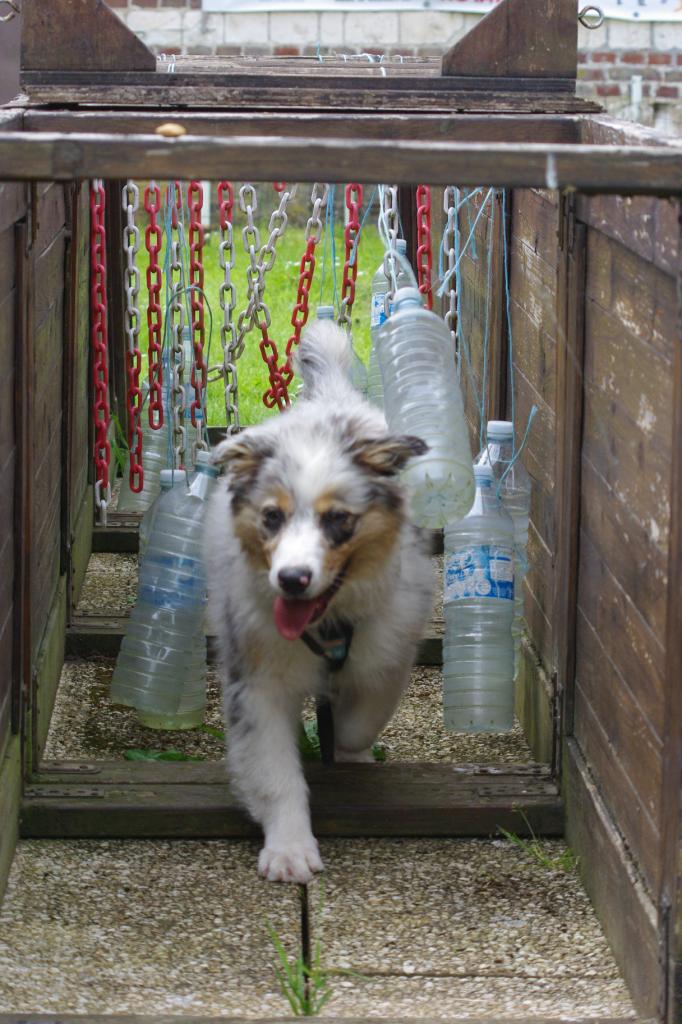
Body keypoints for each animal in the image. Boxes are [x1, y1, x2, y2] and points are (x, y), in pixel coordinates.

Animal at [204, 319, 432, 880]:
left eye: (339, 520)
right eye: (272, 517)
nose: (291, 579)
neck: (327, 622)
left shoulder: (386, 653)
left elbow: (358, 721)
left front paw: (350, 756)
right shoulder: (256, 679)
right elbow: (275, 771)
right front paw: (289, 849)